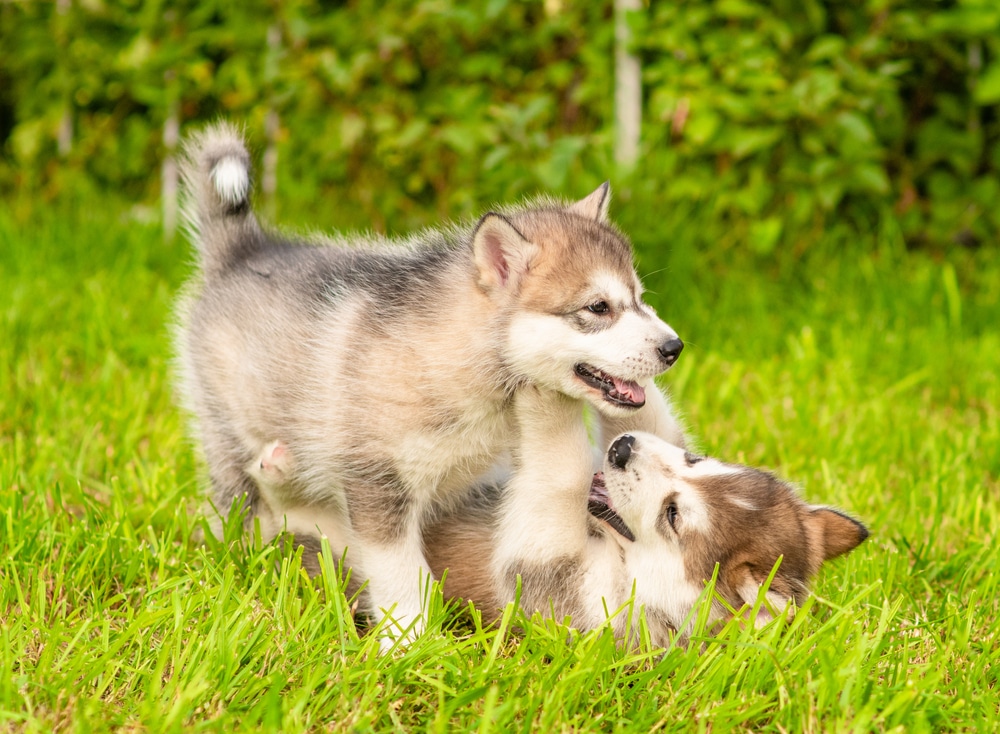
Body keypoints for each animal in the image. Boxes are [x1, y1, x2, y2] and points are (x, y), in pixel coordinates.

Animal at [174, 123, 688, 648]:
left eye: (640, 299)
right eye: (598, 307)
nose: (675, 347)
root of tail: (245, 249)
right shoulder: (377, 481)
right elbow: (398, 569)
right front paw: (410, 642)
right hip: (225, 435)